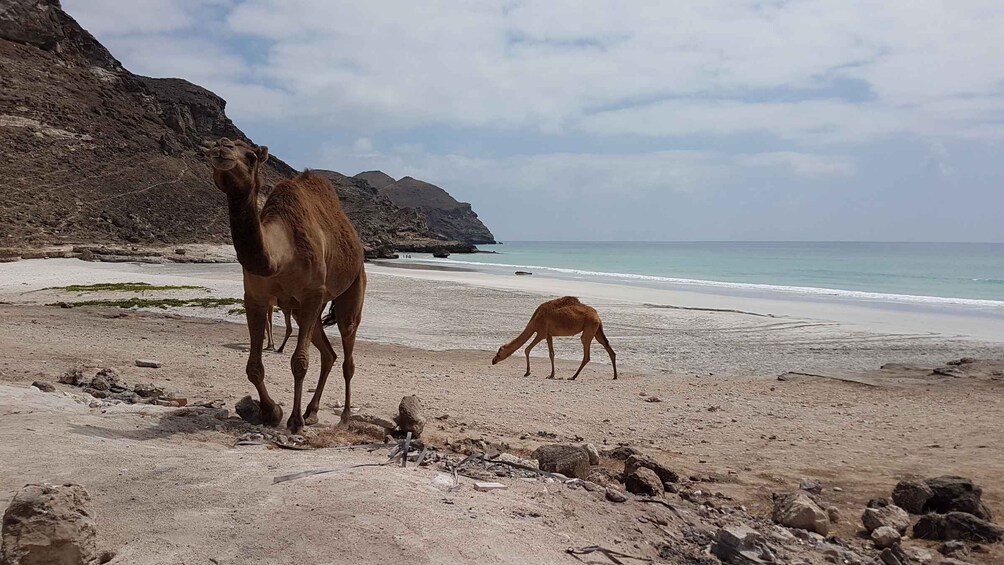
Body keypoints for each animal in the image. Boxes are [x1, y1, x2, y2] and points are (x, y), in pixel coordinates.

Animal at [209, 137, 367, 433]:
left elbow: (299, 362)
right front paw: (272, 412)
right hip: (301, 309)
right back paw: (312, 412)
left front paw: (293, 421)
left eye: (251, 157)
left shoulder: (312, 293)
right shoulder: (255, 297)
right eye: (216, 143)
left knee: (348, 354)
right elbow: (253, 367)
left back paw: (344, 417)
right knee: (328, 354)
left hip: (351, 288)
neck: (281, 256)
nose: (222, 149)